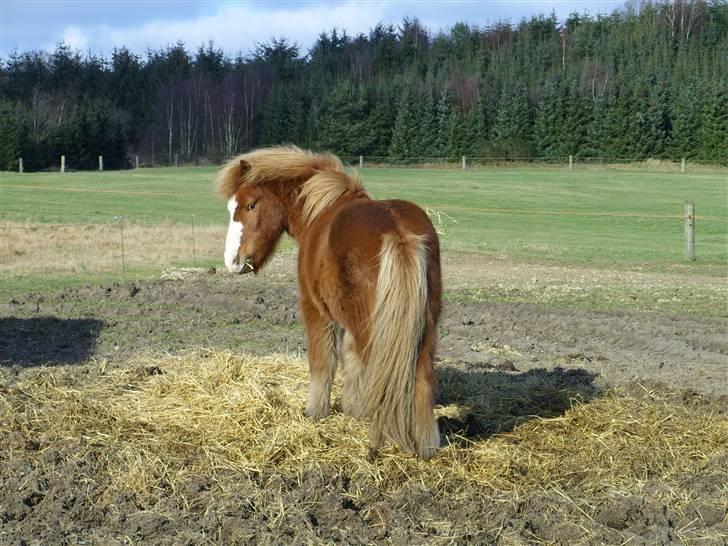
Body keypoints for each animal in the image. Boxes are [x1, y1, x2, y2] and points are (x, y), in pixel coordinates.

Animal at [216, 143, 440, 454]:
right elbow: (351, 360)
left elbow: (322, 361)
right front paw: (353, 409)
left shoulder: (316, 311)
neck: (320, 209)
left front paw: (315, 411)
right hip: (423, 326)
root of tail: (399, 233)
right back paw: (427, 446)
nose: (232, 262)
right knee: (422, 375)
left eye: (250, 205)